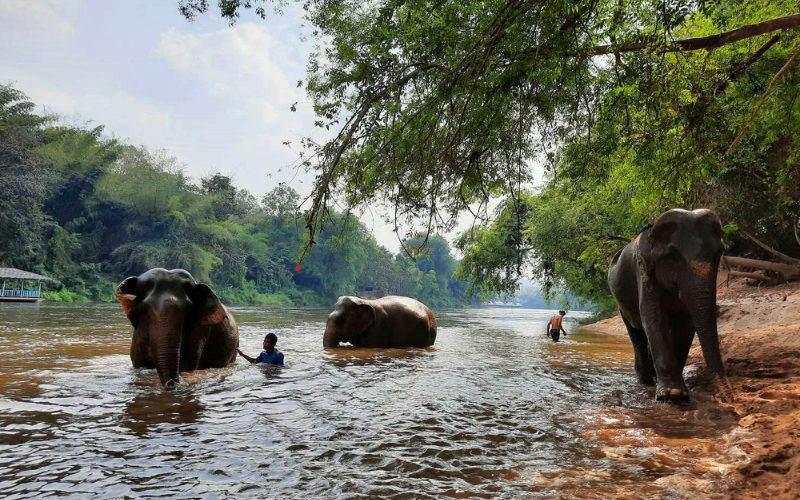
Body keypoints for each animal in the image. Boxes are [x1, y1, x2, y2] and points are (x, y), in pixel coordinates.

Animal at [608, 208, 732, 402]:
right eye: (673, 257)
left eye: (719, 253)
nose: (729, 398)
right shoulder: (642, 270)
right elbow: (652, 315)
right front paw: (673, 394)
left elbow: (687, 323)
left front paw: (678, 392)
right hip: (622, 306)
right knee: (637, 334)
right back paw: (645, 381)